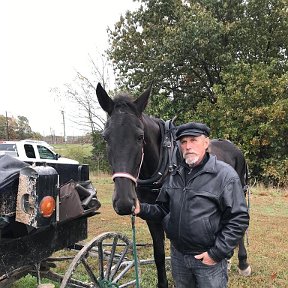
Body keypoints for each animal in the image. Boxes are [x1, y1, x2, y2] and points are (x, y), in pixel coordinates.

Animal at [95, 82, 251, 286]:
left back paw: (243, 262)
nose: (124, 202)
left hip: (239, 191)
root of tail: (233, 147)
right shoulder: (154, 217)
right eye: (105, 137)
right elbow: (159, 254)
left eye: (140, 137)